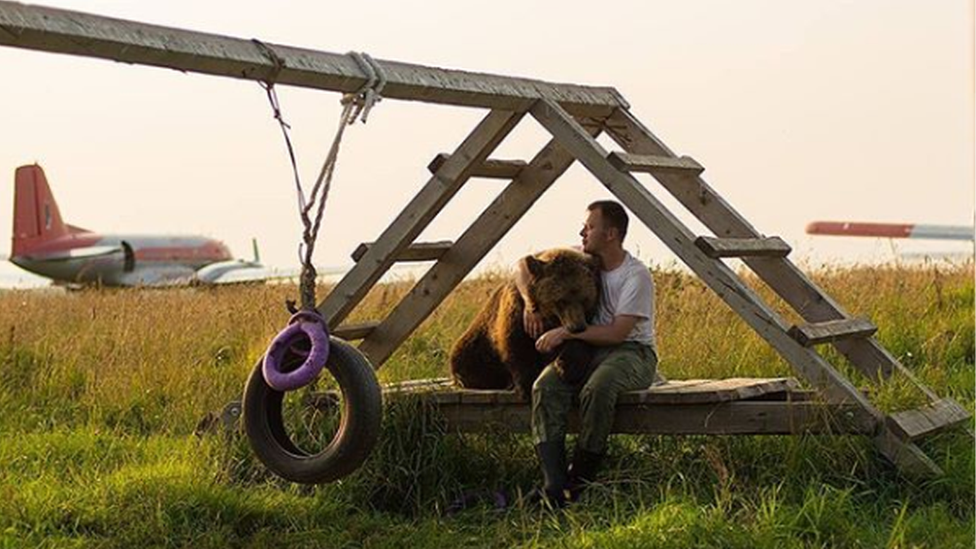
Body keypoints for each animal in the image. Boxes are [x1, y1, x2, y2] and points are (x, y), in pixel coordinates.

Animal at [452, 248, 604, 398]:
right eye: (561, 301)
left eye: (584, 299)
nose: (577, 327)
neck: (549, 319)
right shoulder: (518, 313)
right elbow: (518, 346)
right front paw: (527, 384)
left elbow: (582, 341)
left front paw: (568, 368)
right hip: (478, 346)